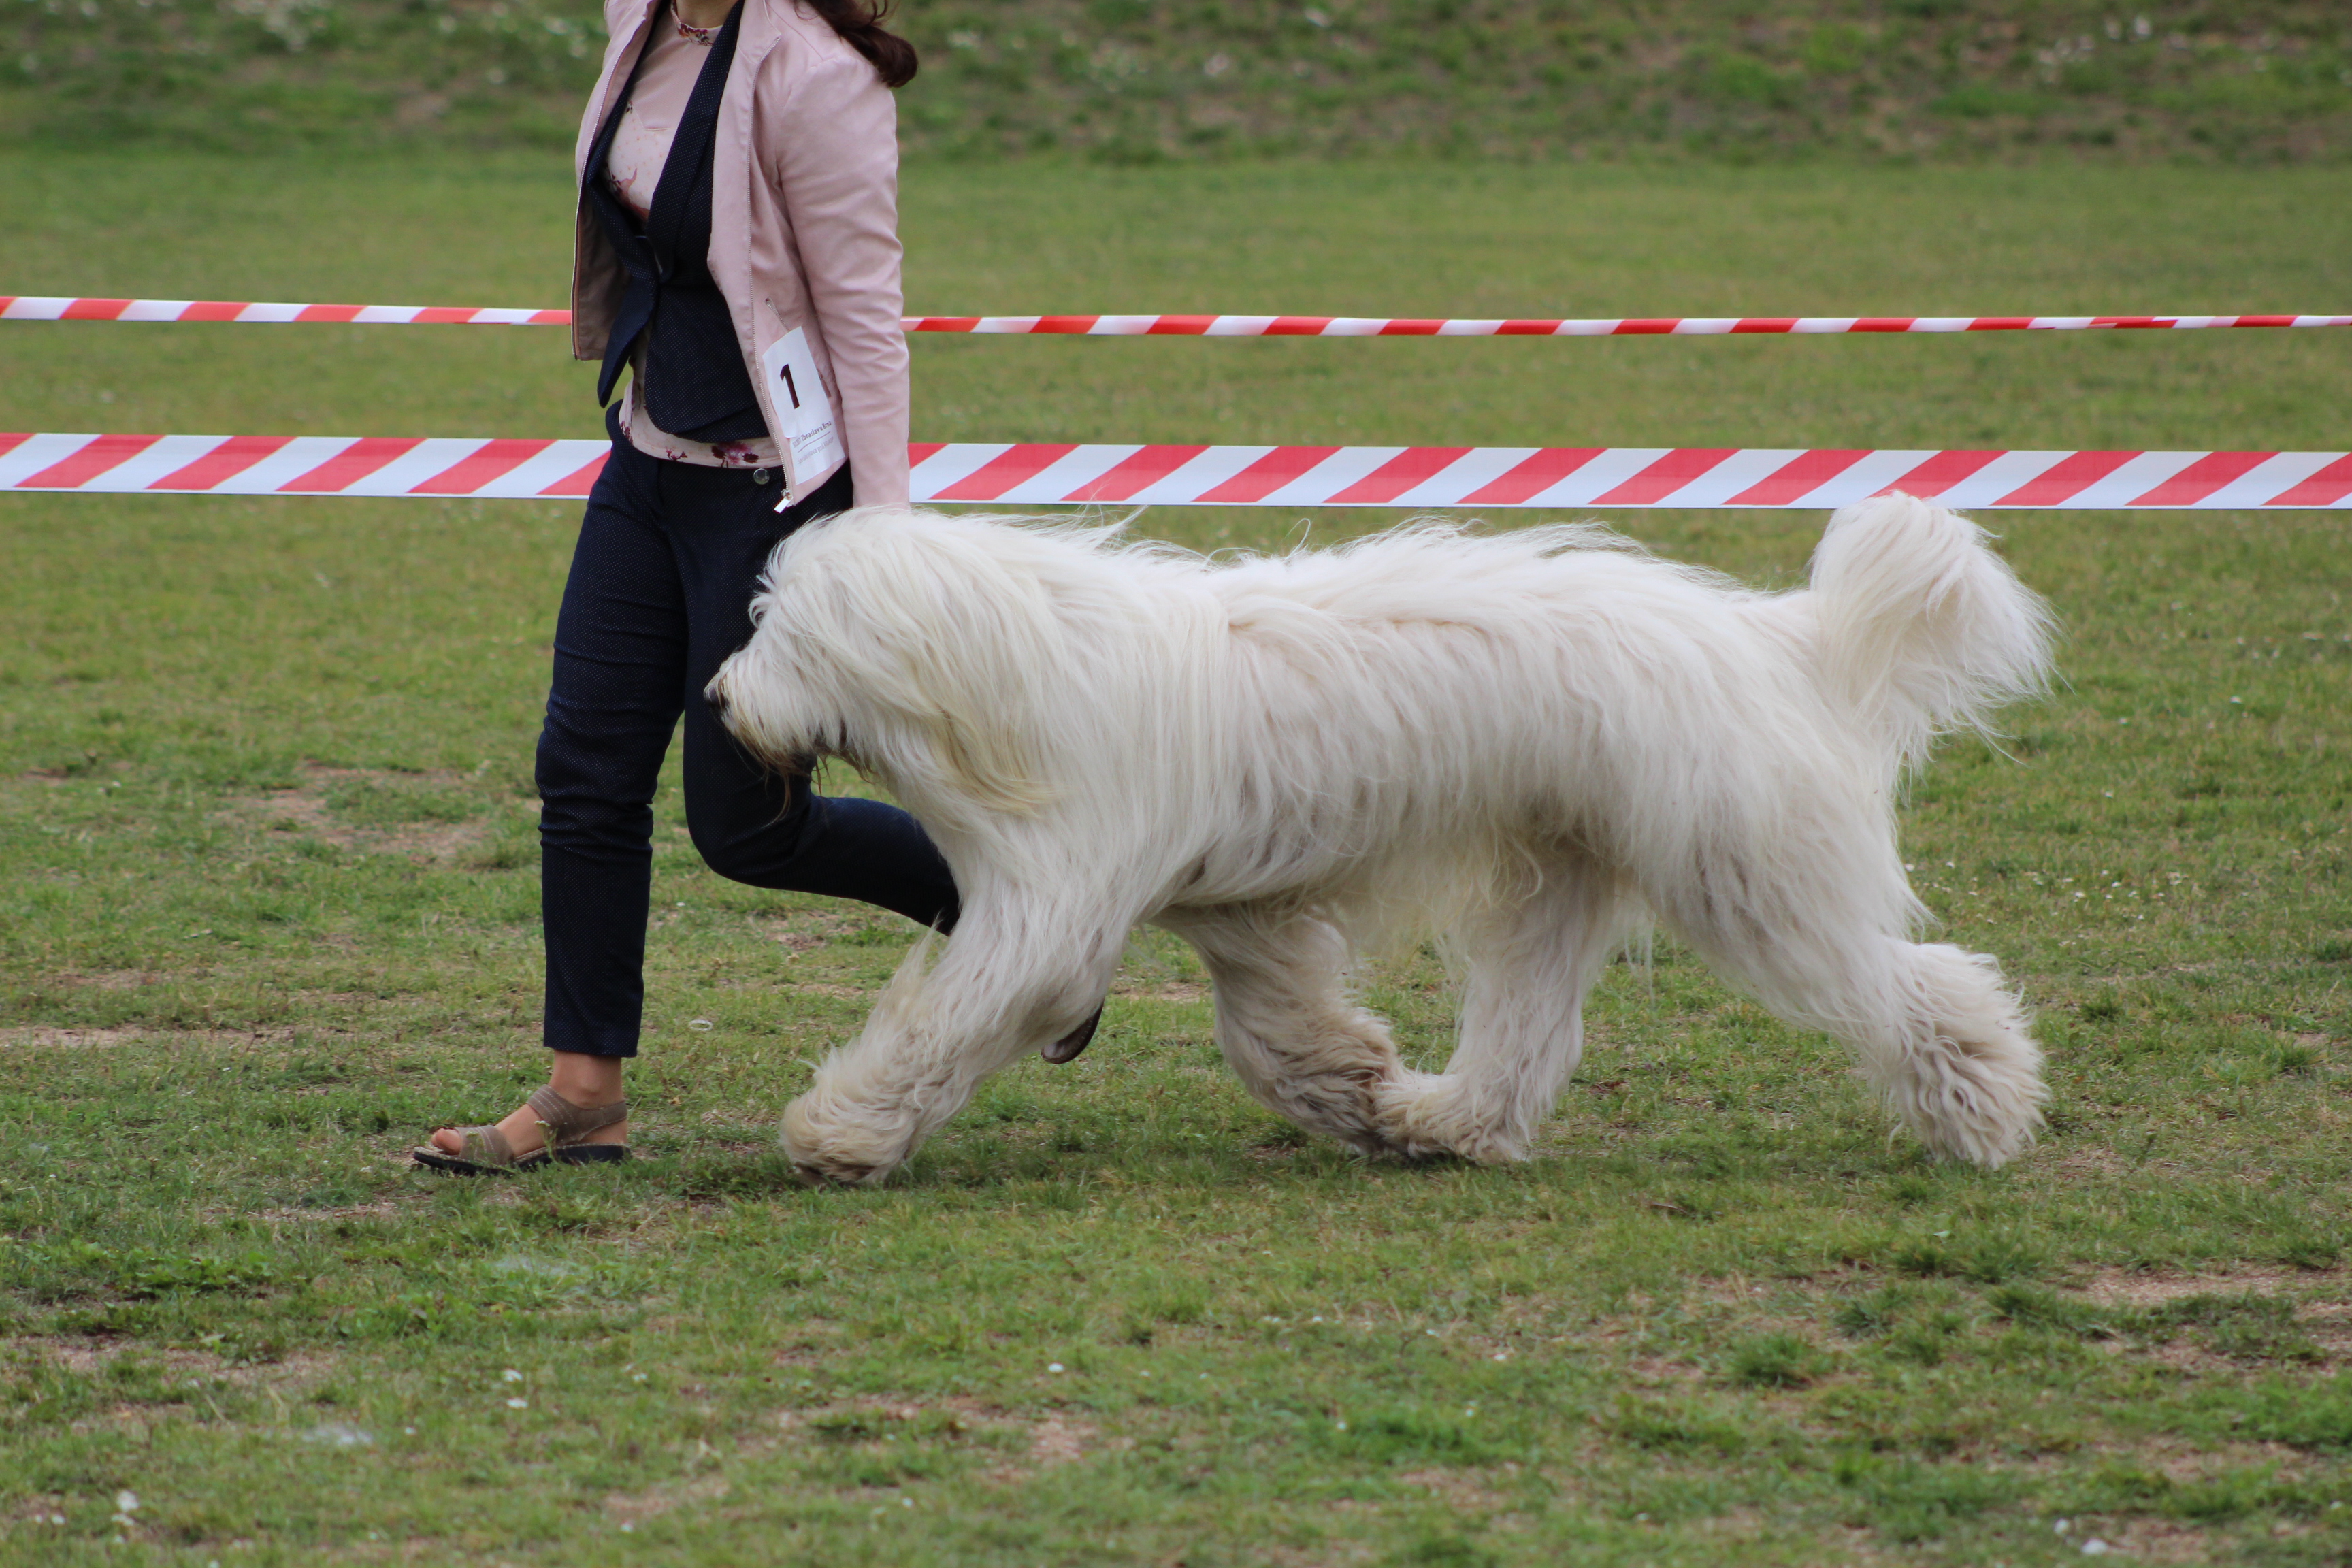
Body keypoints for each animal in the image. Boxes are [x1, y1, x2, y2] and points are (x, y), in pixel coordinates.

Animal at [704, 495, 2056, 1186]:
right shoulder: (1235, 907)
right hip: (1562, 869)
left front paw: (840, 1132)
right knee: (1526, 1028)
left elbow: (956, 1014)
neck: (1012, 670)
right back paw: (1444, 1122)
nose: (716, 697)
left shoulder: (1055, 901)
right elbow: (1271, 1027)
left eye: (781, 633)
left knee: (1909, 979)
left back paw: (1981, 1105)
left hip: (1741, 867)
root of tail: (1774, 634)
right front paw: (1352, 1084)